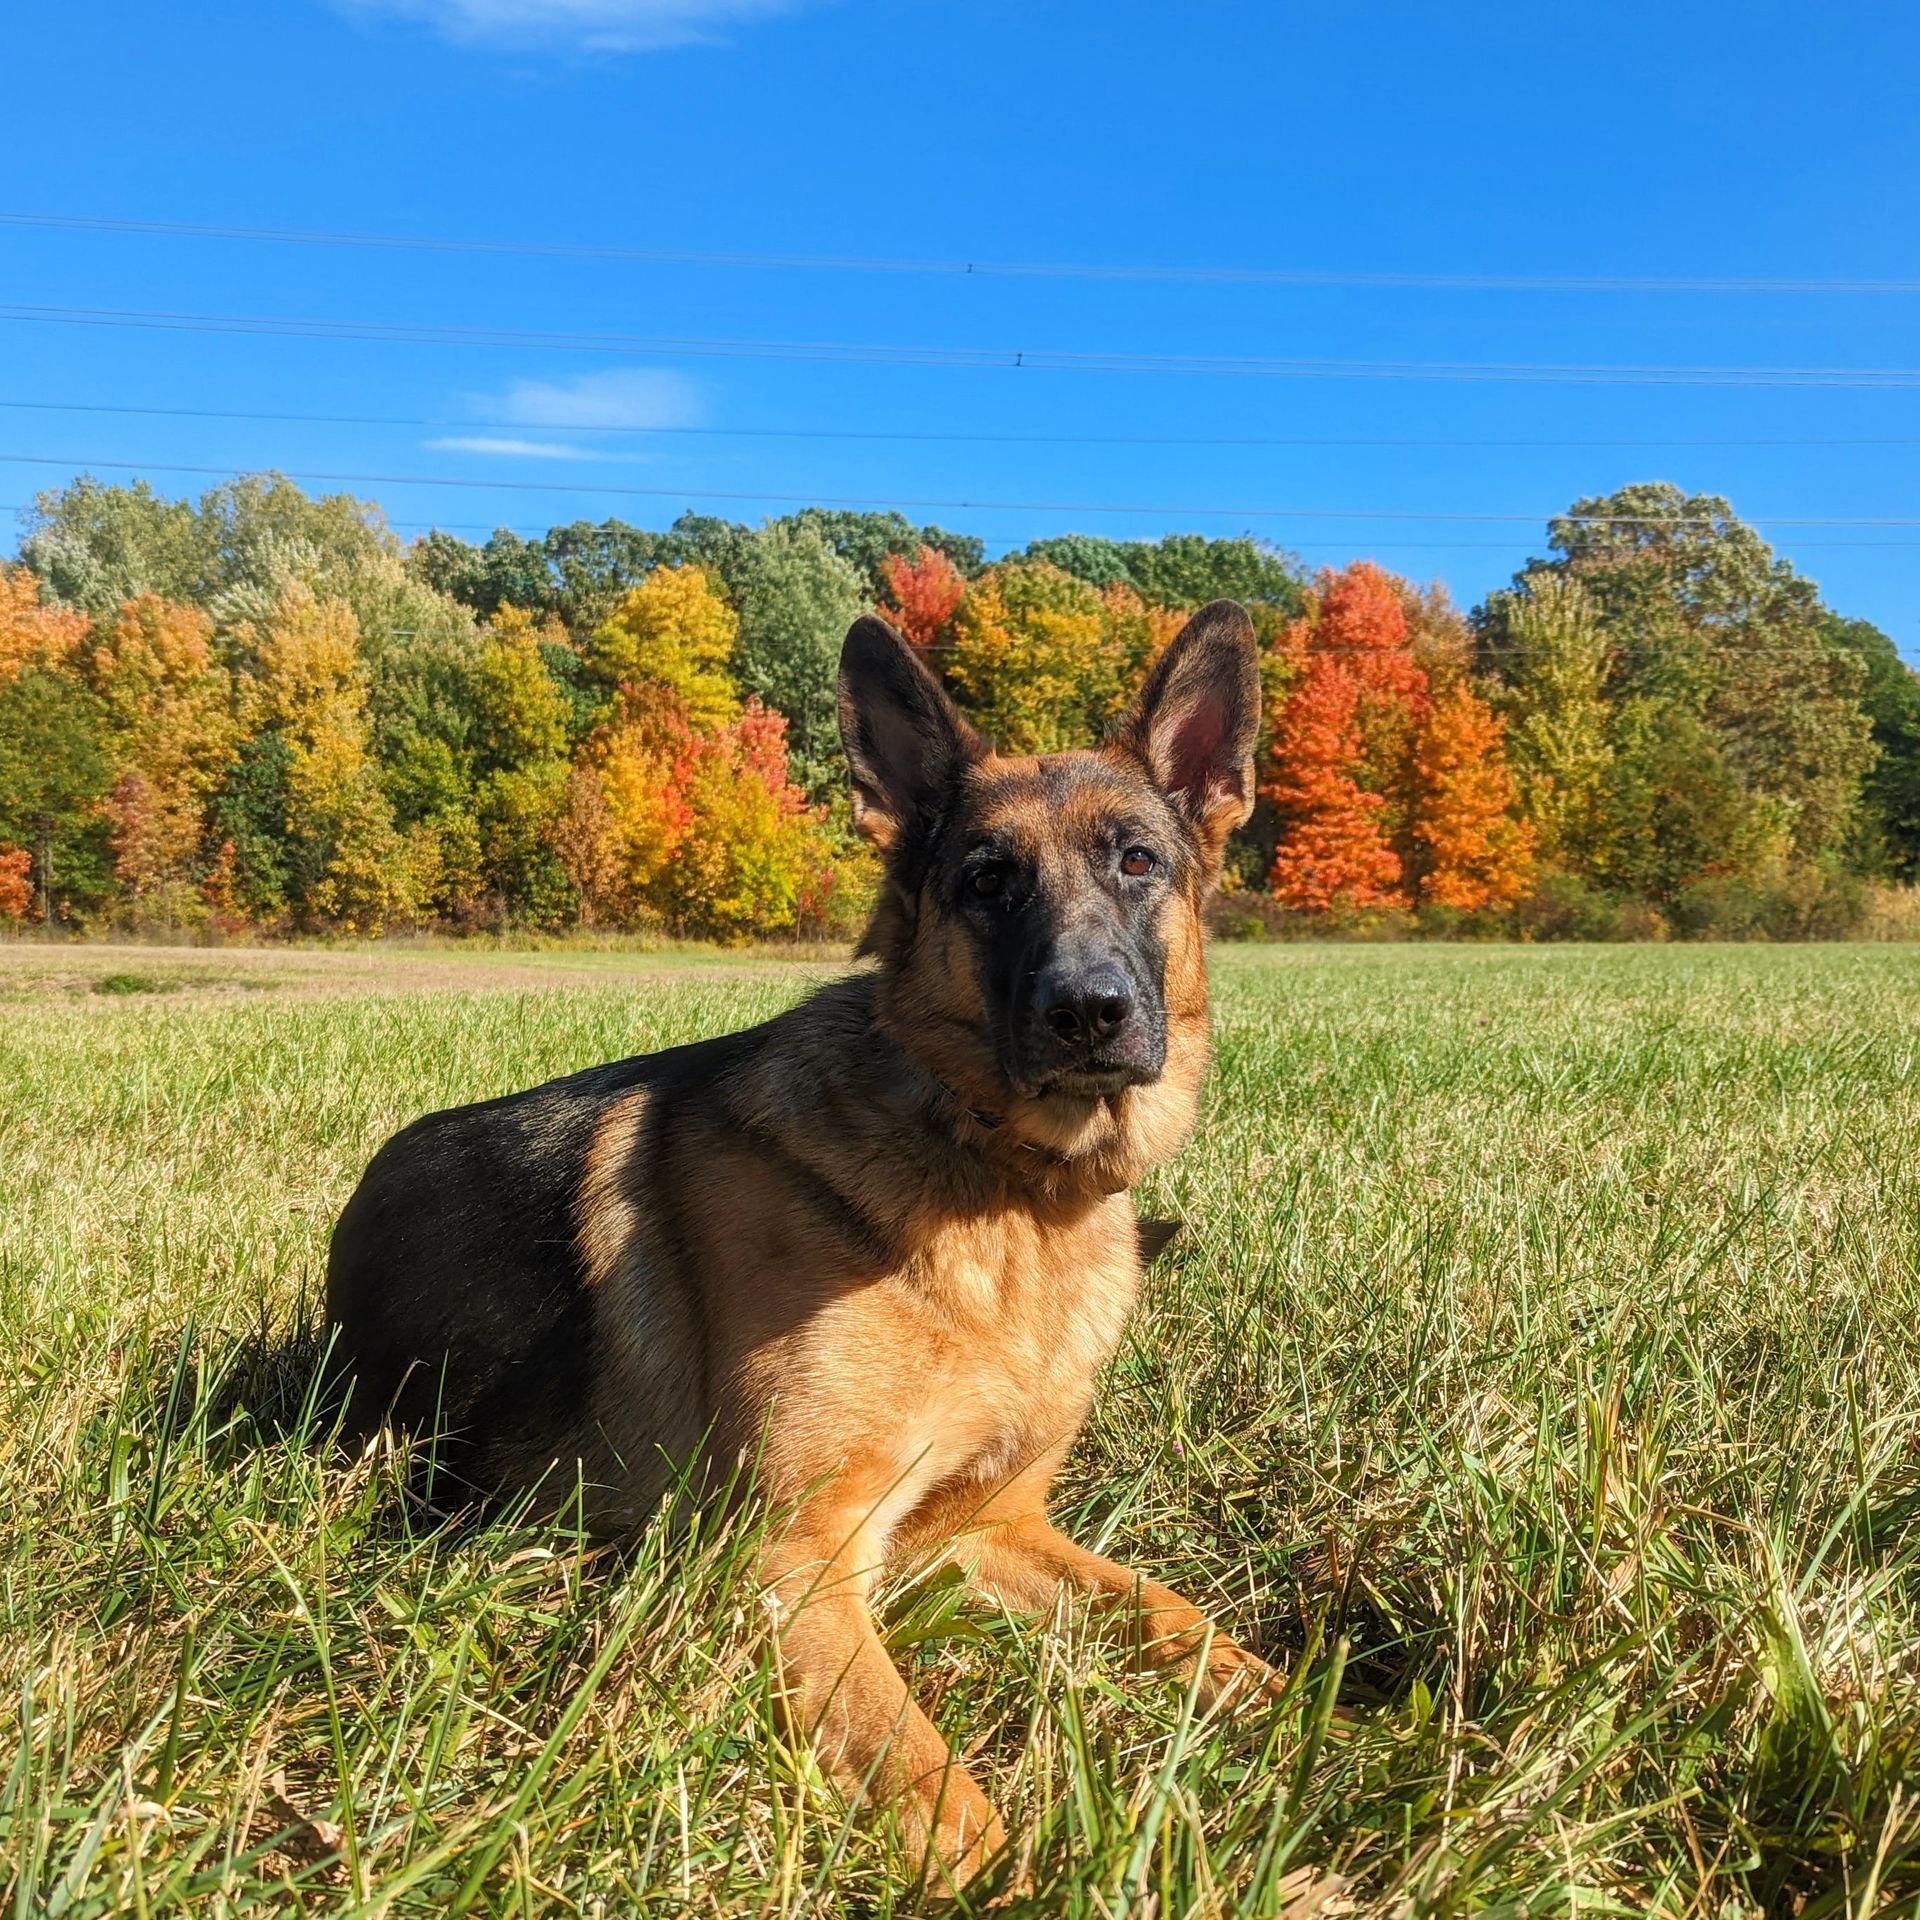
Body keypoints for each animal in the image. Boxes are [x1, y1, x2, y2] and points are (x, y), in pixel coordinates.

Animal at [328, 602, 1282, 1889]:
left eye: (1138, 861)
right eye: (988, 881)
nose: (1088, 1013)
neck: (1004, 1189)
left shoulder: (988, 1529)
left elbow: (1178, 1618)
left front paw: (1309, 1713)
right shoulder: (795, 1564)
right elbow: (947, 1799)